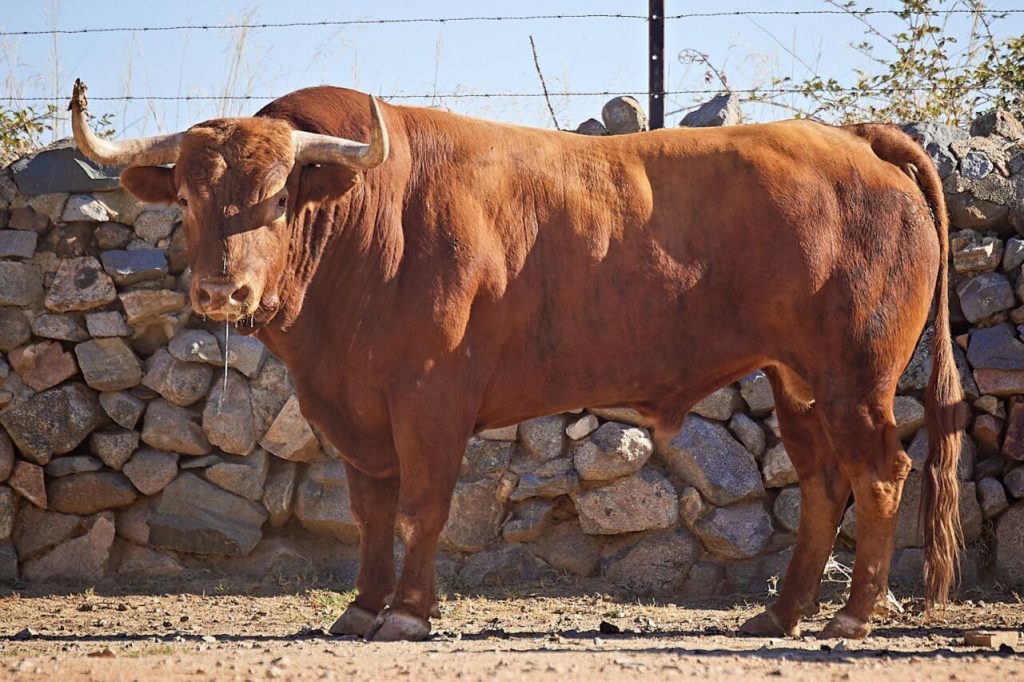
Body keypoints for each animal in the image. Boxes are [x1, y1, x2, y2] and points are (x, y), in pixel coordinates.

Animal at [70, 76, 958, 638]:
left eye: (282, 194)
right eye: (188, 196)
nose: (223, 290)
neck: (367, 226)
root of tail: (856, 140)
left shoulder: (430, 398)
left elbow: (424, 505)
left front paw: (407, 613)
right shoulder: (353, 410)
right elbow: (372, 510)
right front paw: (360, 607)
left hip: (856, 377)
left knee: (881, 474)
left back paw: (853, 616)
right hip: (796, 381)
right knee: (823, 484)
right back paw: (778, 613)